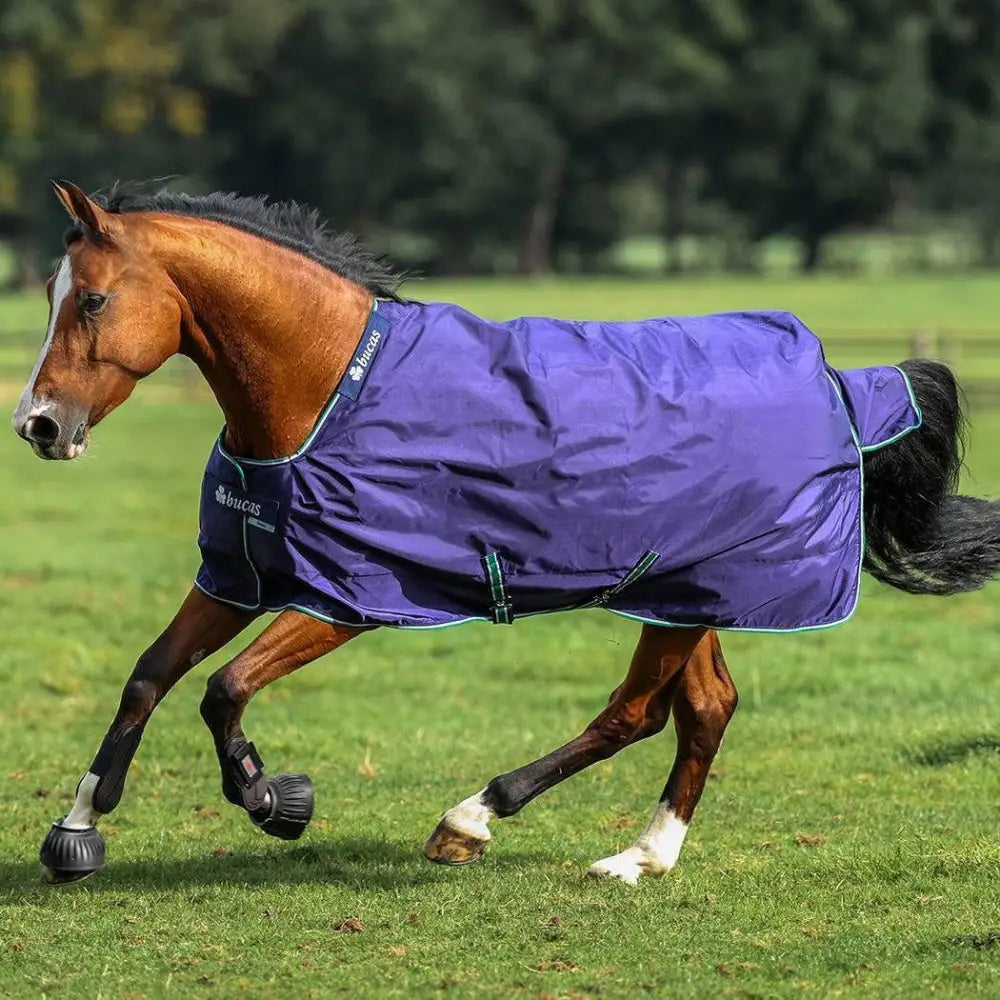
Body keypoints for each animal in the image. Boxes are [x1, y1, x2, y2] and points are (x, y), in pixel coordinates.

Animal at [12, 180, 1000, 886]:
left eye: (91, 300)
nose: (38, 426)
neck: (326, 387)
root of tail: (839, 380)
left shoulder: (347, 598)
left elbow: (223, 690)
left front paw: (273, 798)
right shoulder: (238, 576)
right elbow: (149, 677)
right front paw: (77, 830)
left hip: (686, 595)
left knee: (636, 712)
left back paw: (473, 817)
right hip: (687, 594)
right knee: (704, 709)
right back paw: (642, 857)